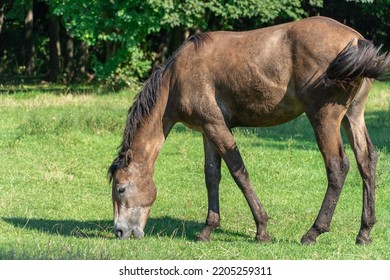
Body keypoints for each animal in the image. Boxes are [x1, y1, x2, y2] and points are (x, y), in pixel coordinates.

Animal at [107, 16, 390, 244]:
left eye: (121, 189)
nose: (119, 232)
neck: (176, 78)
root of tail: (356, 40)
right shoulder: (207, 130)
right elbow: (212, 176)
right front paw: (207, 229)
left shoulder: (217, 127)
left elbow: (239, 172)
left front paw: (261, 229)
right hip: (352, 116)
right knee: (367, 162)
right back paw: (364, 233)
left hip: (324, 118)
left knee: (338, 167)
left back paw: (313, 232)